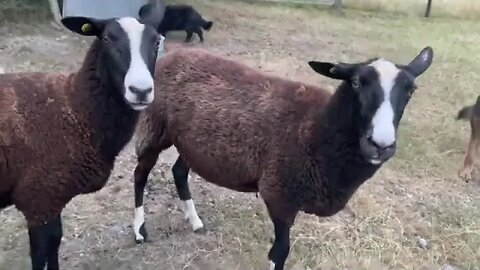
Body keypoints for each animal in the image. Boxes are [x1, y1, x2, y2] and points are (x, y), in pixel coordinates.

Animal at [132, 45, 436, 268]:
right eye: (356, 83)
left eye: (410, 90)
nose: (380, 144)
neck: (318, 129)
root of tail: (174, 53)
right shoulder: (279, 195)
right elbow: (280, 252)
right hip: (153, 126)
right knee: (140, 175)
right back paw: (139, 231)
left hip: (193, 143)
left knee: (179, 171)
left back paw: (195, 222)